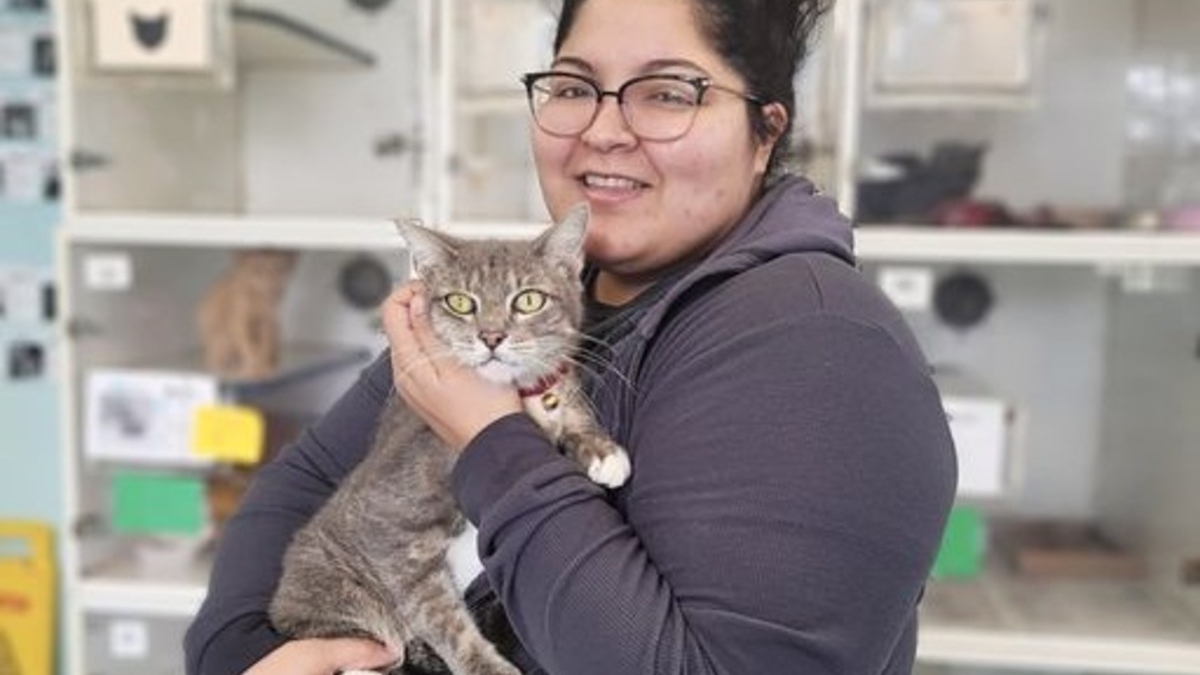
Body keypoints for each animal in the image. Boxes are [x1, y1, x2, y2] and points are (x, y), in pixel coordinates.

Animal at [270, 206, 628, 672]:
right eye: (460, 302)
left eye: (528, 299)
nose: (491, 337)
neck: (519, 396)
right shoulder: (391, 532)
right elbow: (443, 619)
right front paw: (489, 667)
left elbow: (571, 418)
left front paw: (603, 452)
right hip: (331, 586)